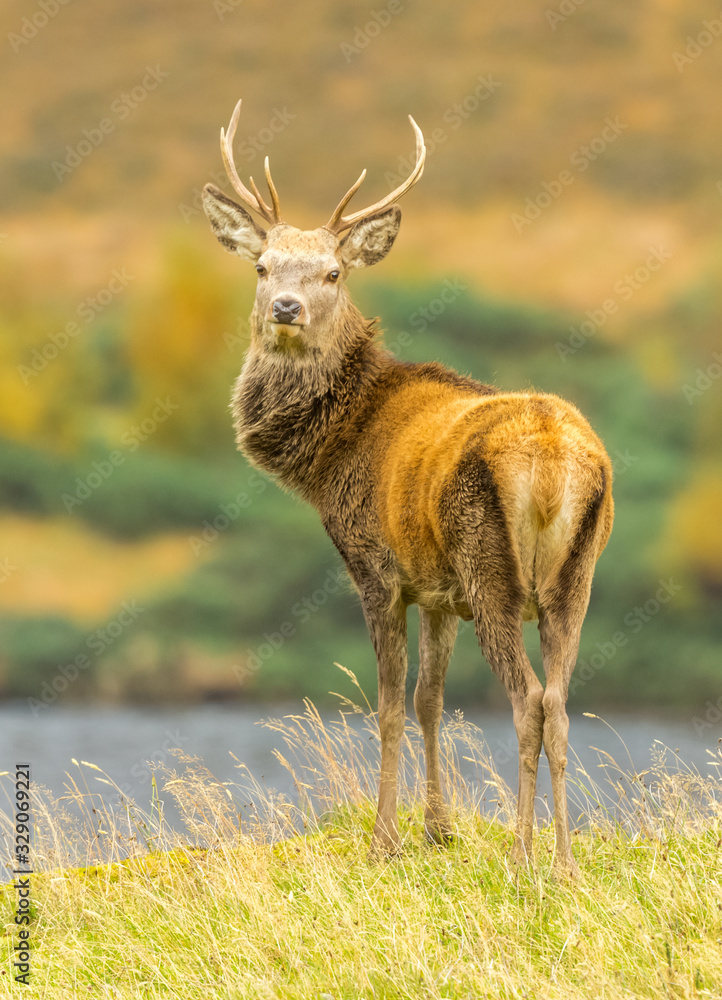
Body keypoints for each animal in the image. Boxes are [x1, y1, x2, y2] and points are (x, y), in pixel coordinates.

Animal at [202, 100, 614, 876]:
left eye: (333, 272)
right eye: (264, 266)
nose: (285, 308)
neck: (330, 455)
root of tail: (554, 461)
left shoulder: (378, 570)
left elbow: (390, 705)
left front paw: (385, 841)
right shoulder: (438, 591)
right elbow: (430, 700)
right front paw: (438, 830)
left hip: (492, 566)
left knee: (528, 701)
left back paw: (523, 856)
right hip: (575, 576)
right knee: (562, 704)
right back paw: (565, 862)